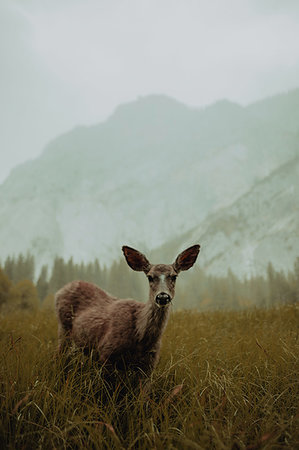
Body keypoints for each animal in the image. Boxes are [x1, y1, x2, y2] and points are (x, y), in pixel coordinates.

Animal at [55, 244, 200, 378]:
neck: (140, 338)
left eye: (174, 276)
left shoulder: (150, 364)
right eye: (150, 277)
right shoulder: (106, 353)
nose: (163, 297)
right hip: (64, 329)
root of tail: (61, 289)